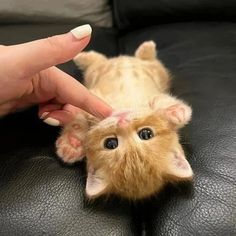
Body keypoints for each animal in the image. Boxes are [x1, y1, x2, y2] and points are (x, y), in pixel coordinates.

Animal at [56, 40, 193, 199]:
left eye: (146, 134)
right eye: (111, 143)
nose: (122, 121)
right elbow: (79, 116)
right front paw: (72, 143)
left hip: (158, 72)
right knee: (99, 60)